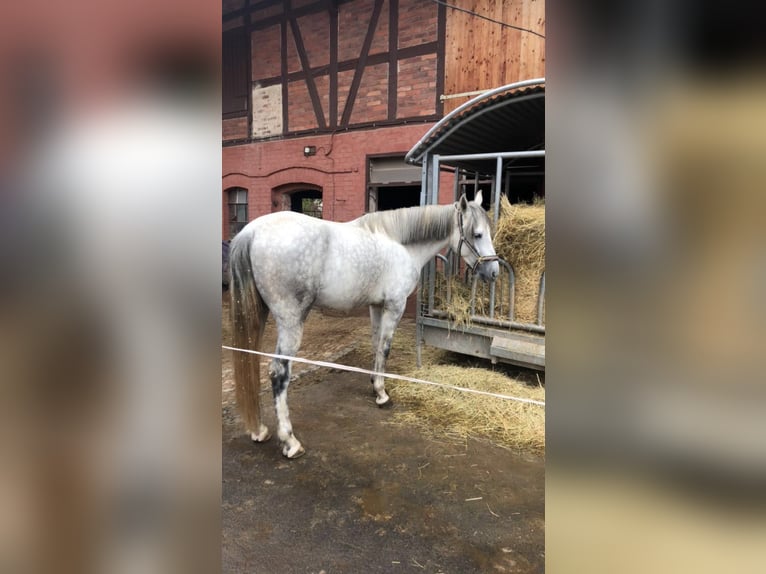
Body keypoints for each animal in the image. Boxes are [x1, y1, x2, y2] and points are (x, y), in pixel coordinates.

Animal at [228, 191, 500, 458]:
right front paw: (382, 394)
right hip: (291, 321)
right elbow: (385, 348)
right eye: (477, 234)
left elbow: (376, 344)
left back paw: (259, 430)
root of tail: (252, 232)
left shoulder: (376, 306)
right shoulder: (394, 305)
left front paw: (374, 386)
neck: (400, 244)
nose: (494, 271)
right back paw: (290, 441)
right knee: (279, 373)